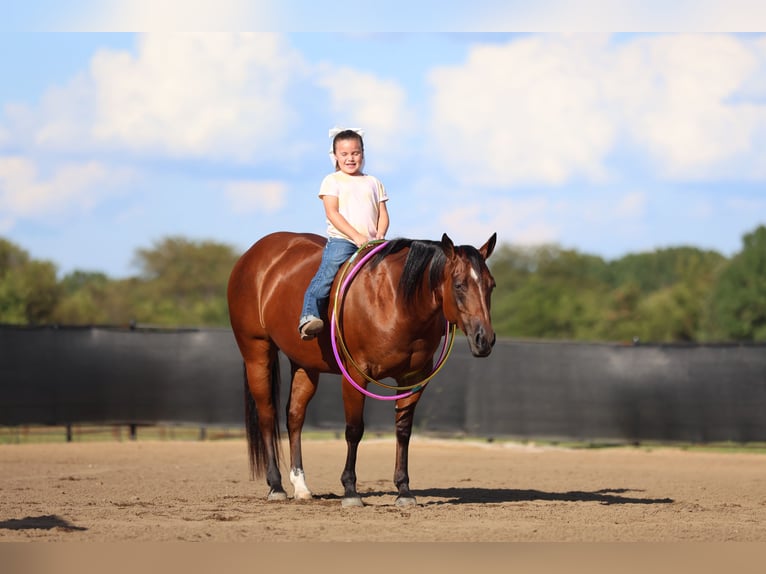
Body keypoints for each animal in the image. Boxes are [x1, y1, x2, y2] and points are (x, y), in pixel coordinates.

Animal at [227, 231, 497, 507]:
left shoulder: (414, 377)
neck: (395, 301)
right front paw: (350, 490)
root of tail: (253, 254)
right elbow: (354, 430)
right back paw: (276, 486)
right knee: (267, 416)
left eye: (491, 285)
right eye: (459, 284)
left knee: (294, 416)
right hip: (257, 354)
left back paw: (301, 486)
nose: (484, 339)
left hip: (304, 365)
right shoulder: (355, 376)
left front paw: (404, 490)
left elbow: (403, 431)